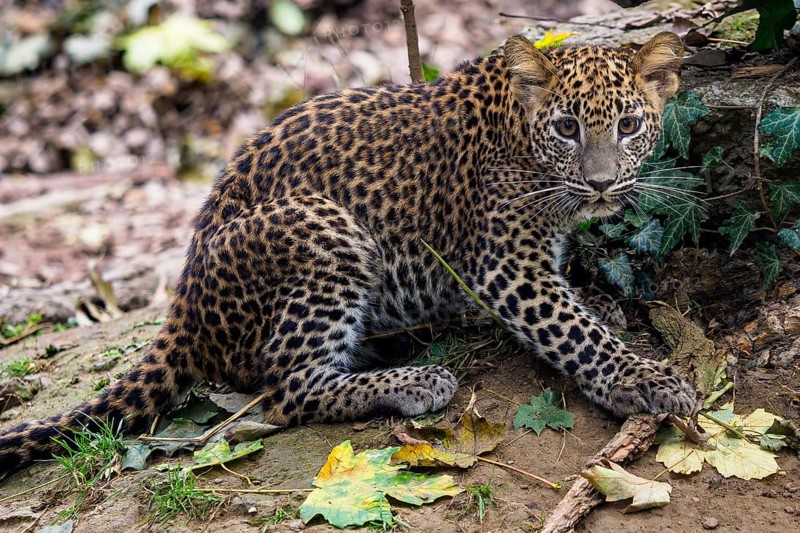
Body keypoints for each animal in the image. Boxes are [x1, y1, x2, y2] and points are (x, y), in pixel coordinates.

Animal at [0, 32, 697, 476]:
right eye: (566, 128)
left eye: (630, 126)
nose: (602, 184)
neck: (521, 134)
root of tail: (184, 305)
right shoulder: (507, 265)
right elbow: (574, 331)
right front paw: (643, 379)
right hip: (325, 232)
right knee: (287, 389)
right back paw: (414, 381)